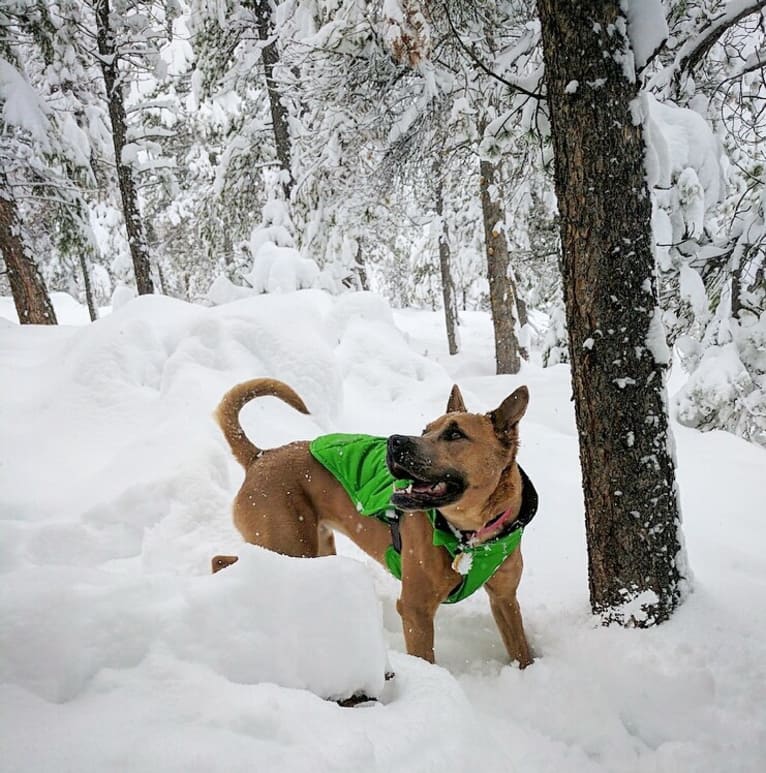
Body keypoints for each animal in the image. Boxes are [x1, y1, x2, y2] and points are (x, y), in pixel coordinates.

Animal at [214, 376, 540, 668]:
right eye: (425, 430)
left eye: (455, 434)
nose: (395, 441)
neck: (470, 535)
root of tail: (260, 456)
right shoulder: (415, 609)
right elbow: (426, 659)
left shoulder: (505, 599)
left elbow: (521, 649)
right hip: (286, 545)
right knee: (223, 561)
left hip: (313, 549)